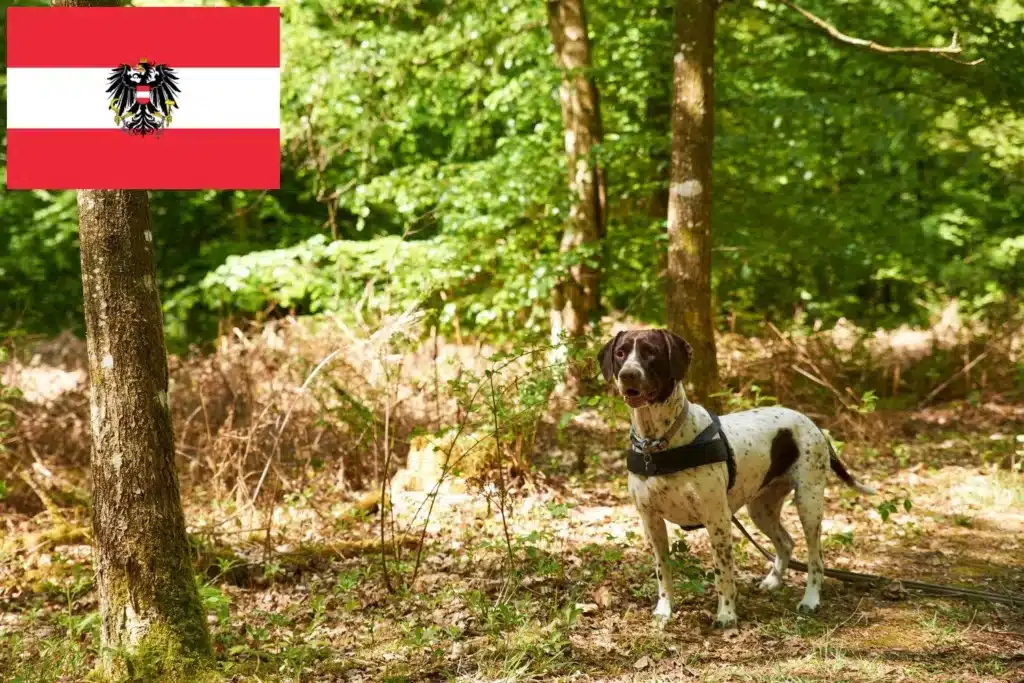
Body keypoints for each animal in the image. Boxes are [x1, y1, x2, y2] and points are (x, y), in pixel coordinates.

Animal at [598, 327, 876, 626]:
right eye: (621, 353)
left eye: (651, 352)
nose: (628, 374)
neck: (658, 443)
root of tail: (813, 424)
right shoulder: (651, 521)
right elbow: (663, 572)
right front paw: (665, 610)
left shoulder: (717, 520)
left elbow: (723, 573)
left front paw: (727, 613)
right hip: (761, 508)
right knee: (786, 543)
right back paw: (773, 582)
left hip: (809, 505)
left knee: (816, 559)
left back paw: (810, 600)